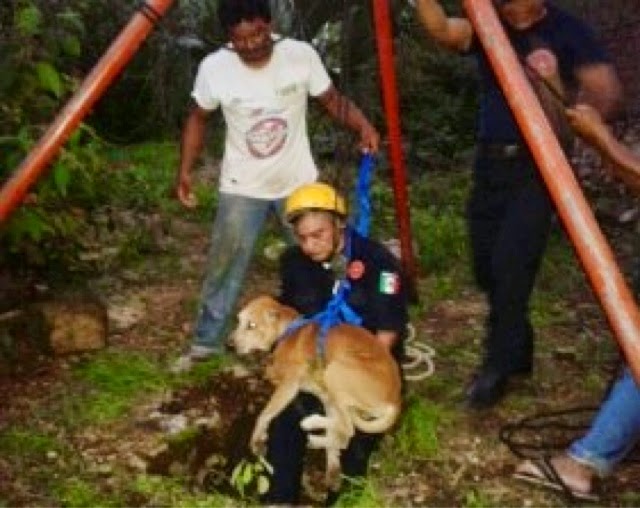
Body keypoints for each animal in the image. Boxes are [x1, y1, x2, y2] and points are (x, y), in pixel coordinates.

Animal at [229, 296, 400, 490]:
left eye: (251, 325)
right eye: (238, 320)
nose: (229, 345)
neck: (287, 331)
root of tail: (395, 400)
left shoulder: (289, 385)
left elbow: (264, 414)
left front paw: (256, 439)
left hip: (334, 372)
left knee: (347, 429)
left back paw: (311, 424)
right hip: (332, 394)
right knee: (343, 436)